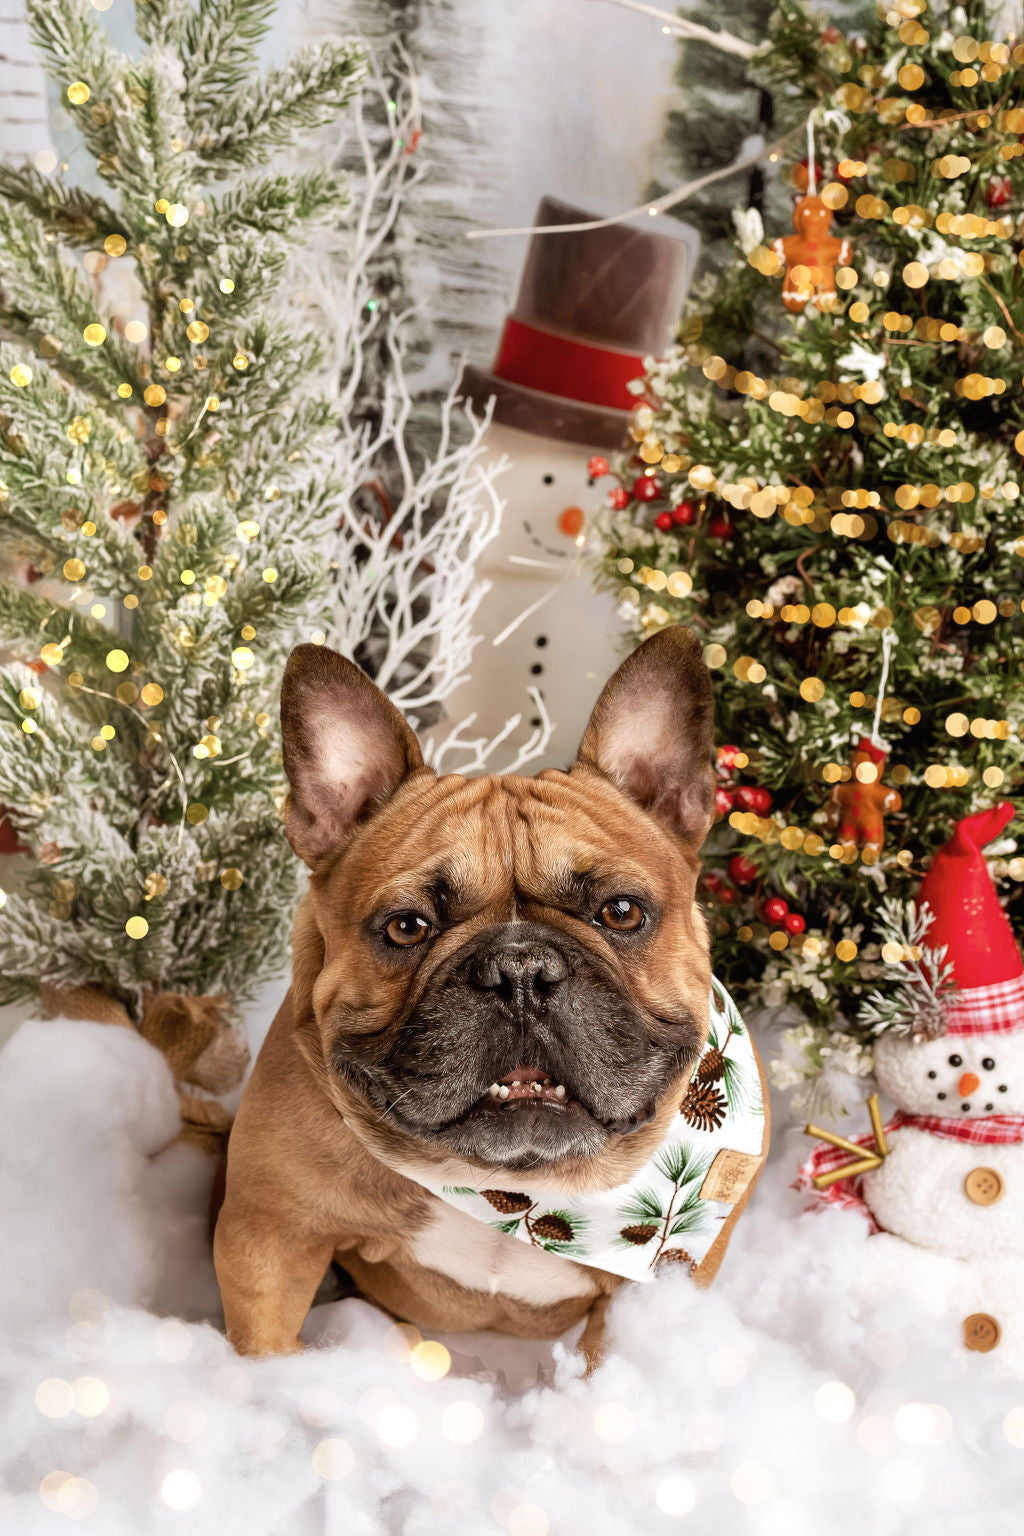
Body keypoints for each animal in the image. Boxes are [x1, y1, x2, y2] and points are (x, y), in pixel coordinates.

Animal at [211, 626, 764, 1370]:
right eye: (407, 926)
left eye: (621, 912)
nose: (520, 972)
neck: (515, 1192)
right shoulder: (270, 1236)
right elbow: (265, 1350)